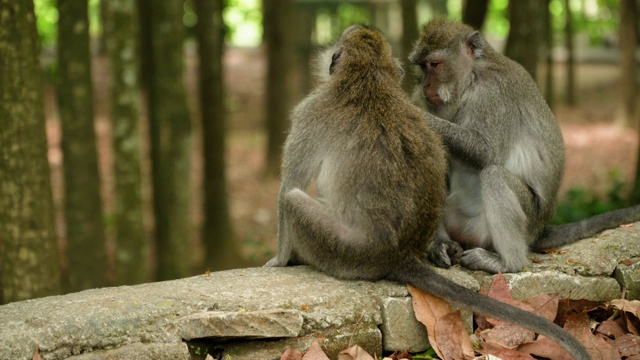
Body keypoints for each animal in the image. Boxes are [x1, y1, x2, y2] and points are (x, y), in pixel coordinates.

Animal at [264, 24, 592, 360]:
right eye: (422, 67)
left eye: (434, 65)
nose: (425, 85)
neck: (367, 75)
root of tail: (397, 256)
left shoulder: (308, 111)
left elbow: (289, 185)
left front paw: (278, 261)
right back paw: (442, 245)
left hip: (342, 248)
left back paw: (507, 263)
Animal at [410, 16, 640, 274]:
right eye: (422, 67)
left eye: (435, 64)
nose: (425, 85)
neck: (471, 80)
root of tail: (539, 230)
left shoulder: (494, 94)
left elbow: (487, 151)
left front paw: (418, 114)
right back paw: (441, 242)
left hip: (524, 219)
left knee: (494, 175)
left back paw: (508, 263)